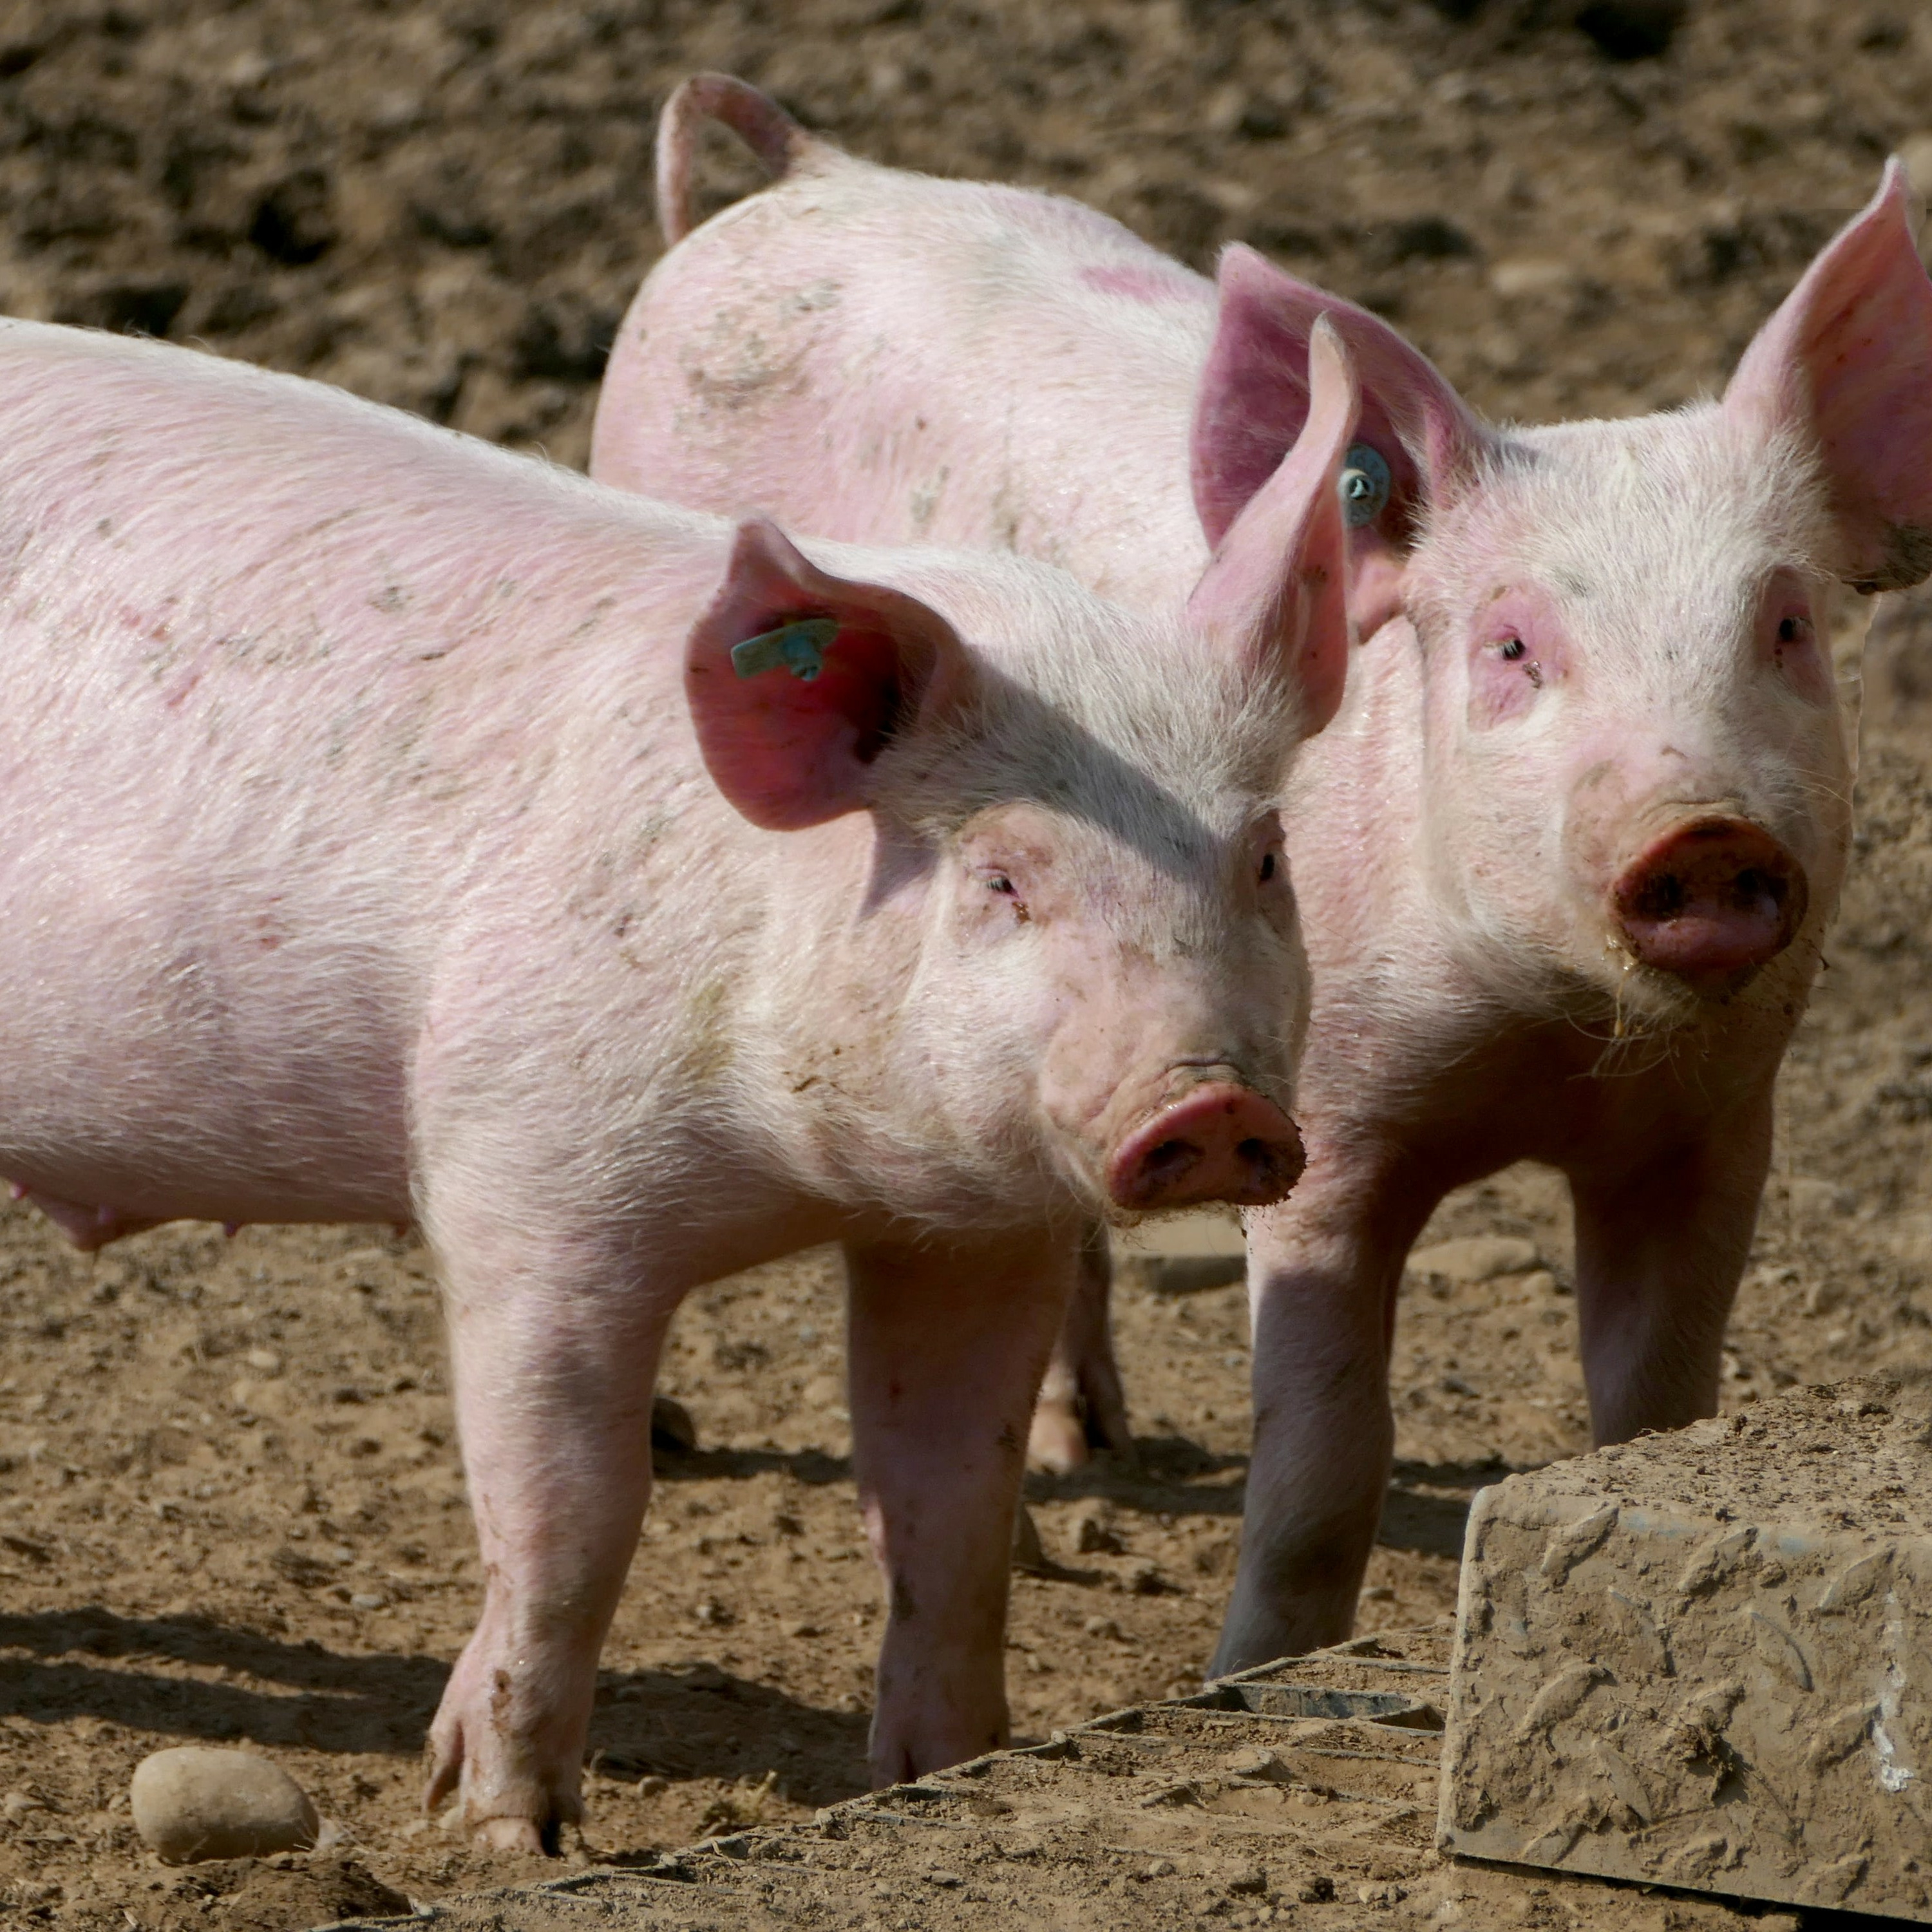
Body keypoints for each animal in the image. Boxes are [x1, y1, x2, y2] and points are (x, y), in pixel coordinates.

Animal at [0, 313, 1359, 1842]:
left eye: (1264, 861)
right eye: (1006, 875)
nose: (1214, 1104)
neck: (794, 1173)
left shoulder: (978, 1232)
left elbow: (948, 1498)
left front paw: (945, 1772)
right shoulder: (520, 1178)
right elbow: (573, 1512)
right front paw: (501, 1828)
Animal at [594, 78, 1932, 1665]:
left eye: (1786, 627)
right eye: (1513, 646)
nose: (1706, 829)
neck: (1548, 1038)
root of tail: (806, 174)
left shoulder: (1714, 1128)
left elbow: (1655, 1412)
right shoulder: (1328, 1118)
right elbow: (1324, 1455)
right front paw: (1258, 1668)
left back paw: (1087, 1443)